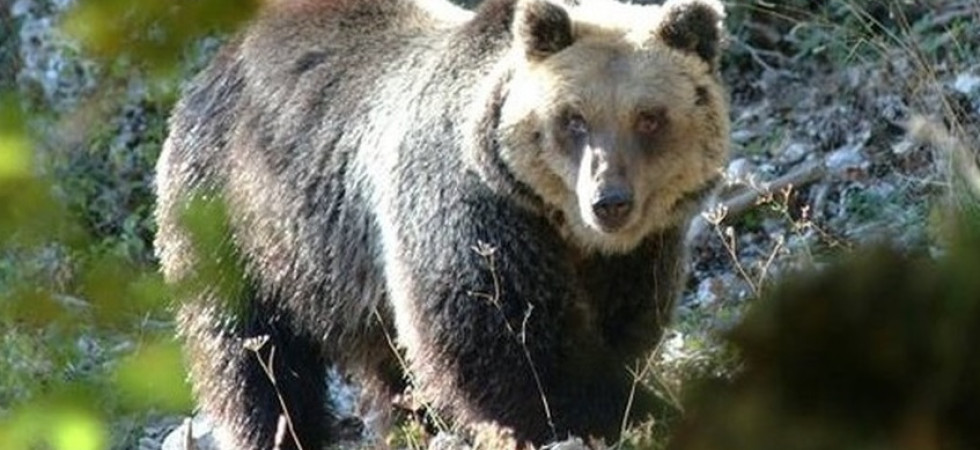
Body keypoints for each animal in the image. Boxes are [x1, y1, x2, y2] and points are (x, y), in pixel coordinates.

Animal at [153, 0, 730, 448]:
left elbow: (625, 325)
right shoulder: (468, 208)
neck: (563, 228)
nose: (609, 201)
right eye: (573, 118)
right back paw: (281, 430)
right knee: (249, 354)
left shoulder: (638, 252)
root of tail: (216, 61)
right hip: (239, 219)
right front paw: (627, 412)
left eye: (649, 118)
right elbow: (505, 343)